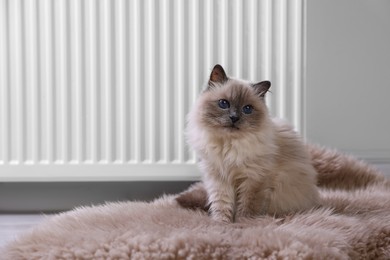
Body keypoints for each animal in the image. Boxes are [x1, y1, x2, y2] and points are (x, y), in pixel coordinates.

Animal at [186, 64, 320, 221]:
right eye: (224, 103)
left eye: (247, 109)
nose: (234, 118)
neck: (229, 145)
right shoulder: (219, 179)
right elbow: (222, 205)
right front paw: (221, 222)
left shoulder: (253, 179)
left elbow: (247, 206)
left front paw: (244, 223)